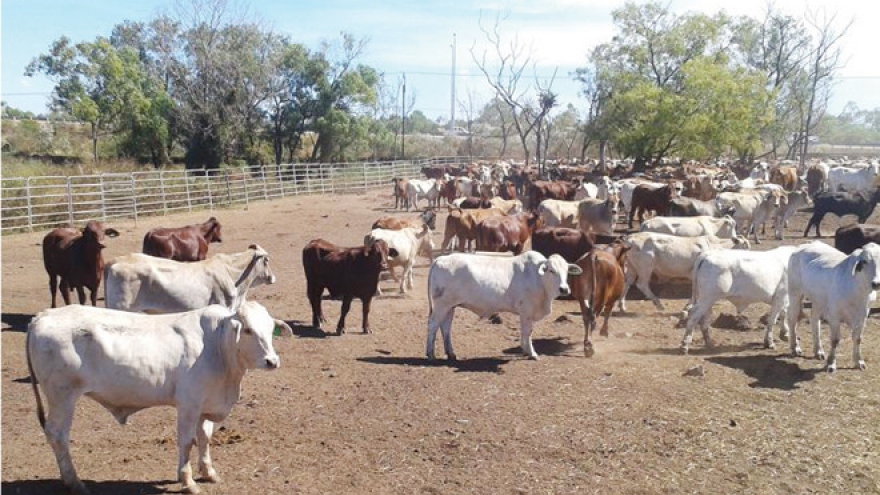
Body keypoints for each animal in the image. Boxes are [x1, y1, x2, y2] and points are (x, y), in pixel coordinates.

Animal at [24, 298, 288, 495]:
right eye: (248, 330)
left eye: (269, 329)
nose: (272, 361)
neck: (219, 348)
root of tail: (43, 315)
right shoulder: (188, 404)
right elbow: (187, 441)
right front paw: (188, 481)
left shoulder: (206, 405)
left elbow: (204, 438)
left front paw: (209, 472)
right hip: (62, 396)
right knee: (57, 435)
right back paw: (75, 482)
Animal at [428, 252, 584, 360]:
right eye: (551, 270)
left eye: (566, 271)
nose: (564, 289)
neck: (539, 279)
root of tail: (439, 259)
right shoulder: (527, 311)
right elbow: (528, 332)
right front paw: (532, 353)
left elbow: (524, 332)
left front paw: (525, 351)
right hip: (442, 305)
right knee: (433, 325)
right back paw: (430, 354)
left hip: (450, 306)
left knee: (445, 327)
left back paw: (451, 353)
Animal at [620, 232, 748, 310]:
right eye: (745, 245)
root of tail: (630, 238)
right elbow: (695, 290)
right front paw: (689, 305)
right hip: (645, 267)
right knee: (641, 284)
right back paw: (659, 304)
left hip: (631, 267)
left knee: (627, 282)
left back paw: (622, 306)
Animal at [788, 242, 880, 370]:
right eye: (864, 261)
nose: (876, 283)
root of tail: (805, 245)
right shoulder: (834, 316)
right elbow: (835, 340)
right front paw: (831, 363)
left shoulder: (863, 316)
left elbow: (858, 339)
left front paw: (859, 361)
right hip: (795, 294)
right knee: (792, 320)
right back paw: (795, 347)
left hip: (818, 300)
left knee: (814, 320)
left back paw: (818, 350)